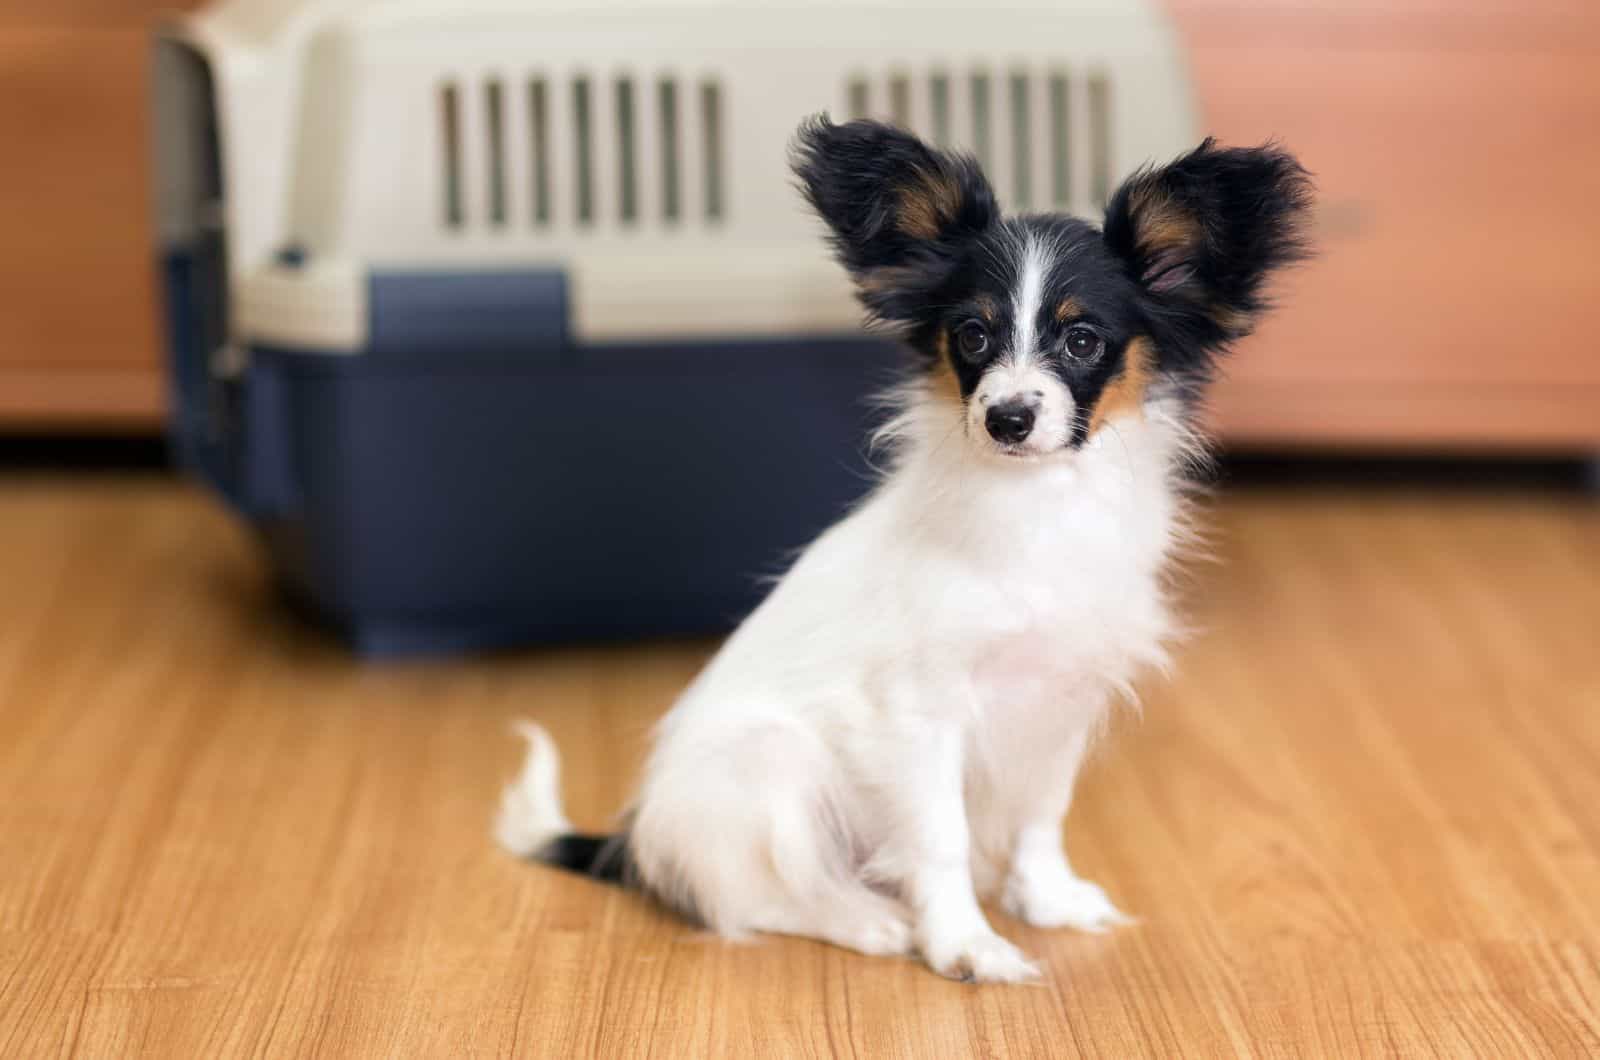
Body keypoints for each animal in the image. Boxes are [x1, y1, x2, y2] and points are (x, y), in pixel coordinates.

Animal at [499, 112, 1312, 986]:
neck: (1035, 508)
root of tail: (638, 838)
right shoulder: (920, 714)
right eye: (973, 335)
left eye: (1083, 341)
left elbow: (1041, 813)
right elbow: (940, 838)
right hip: (776, 769)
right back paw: (869, 921)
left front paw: (1045, 899)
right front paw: (965, 944)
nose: (1008, 419)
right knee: (754, 901)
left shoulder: (1060, 700)